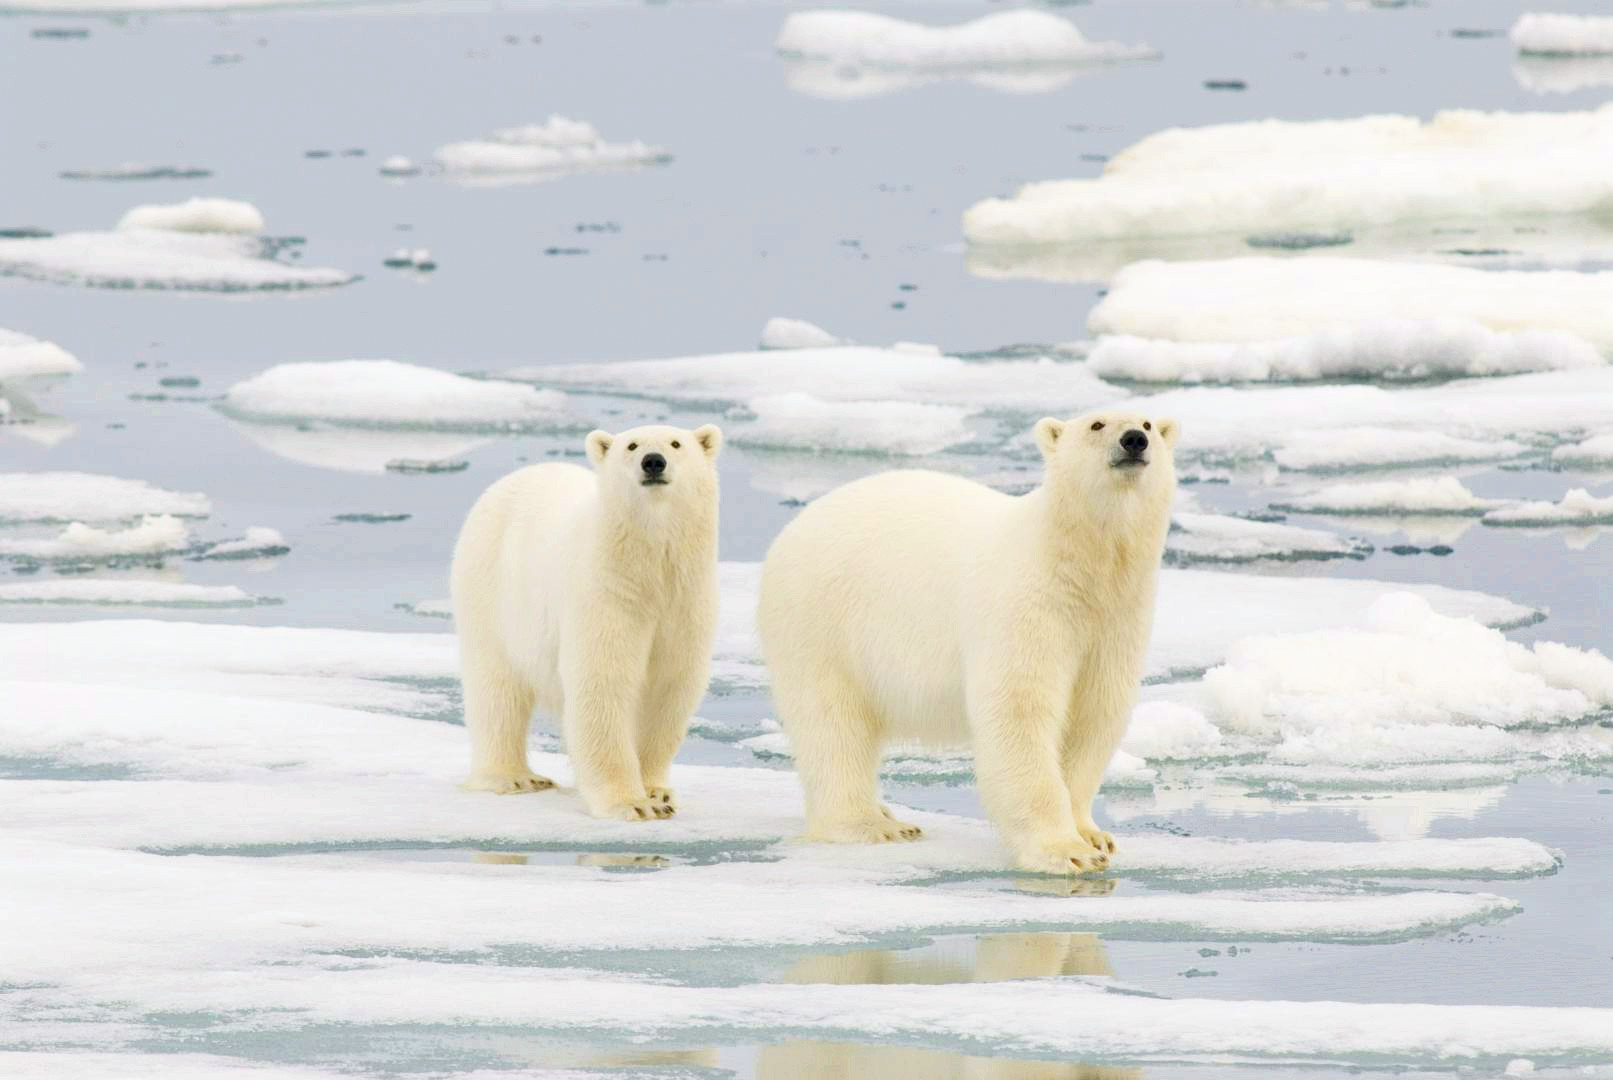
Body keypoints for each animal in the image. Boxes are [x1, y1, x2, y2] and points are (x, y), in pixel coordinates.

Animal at [450, 423, 722, 820]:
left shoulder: (686, 601)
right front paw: (632, 803)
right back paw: (514, 777)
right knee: (496, 688)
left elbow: (671, 687)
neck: (649, 568)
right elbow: (602, 681)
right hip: (491, 591)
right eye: (632, 445)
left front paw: (658, 793)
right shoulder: (607, 592)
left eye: (676, 443)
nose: (653, 462)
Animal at [756, 410, 1176, 873]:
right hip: (821, 620)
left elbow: (1094, 713)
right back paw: (875, 824)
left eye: (1149, 424)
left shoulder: (1116, 619)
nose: (1134, 440)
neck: (1079, 566)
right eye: (1097, 425)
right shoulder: (1027, 604)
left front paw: (1093, 834)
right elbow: (1020, 710)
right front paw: (1065, 851)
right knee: (831, 722)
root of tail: (792, 530)